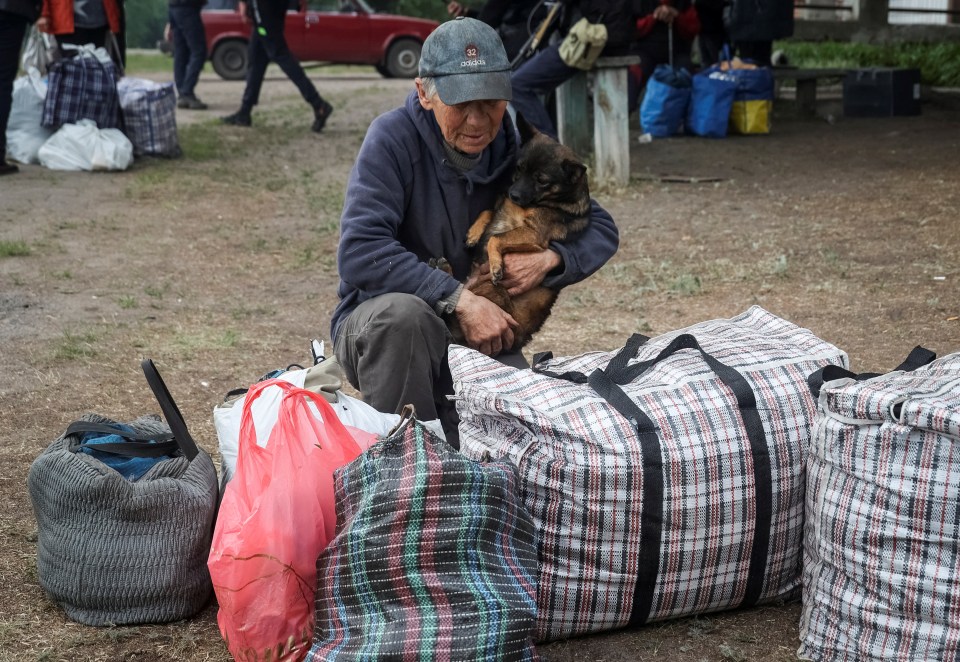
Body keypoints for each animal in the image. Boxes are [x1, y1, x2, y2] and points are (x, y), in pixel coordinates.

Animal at [444, 114, 592, 352]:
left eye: (542, 181)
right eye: (519, 168)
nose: (512, 194)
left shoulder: (534, 234)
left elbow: (495, 238)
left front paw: (496, 265)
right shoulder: (504, 208)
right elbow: (489, 210)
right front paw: (474, 234)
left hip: (492, 292)